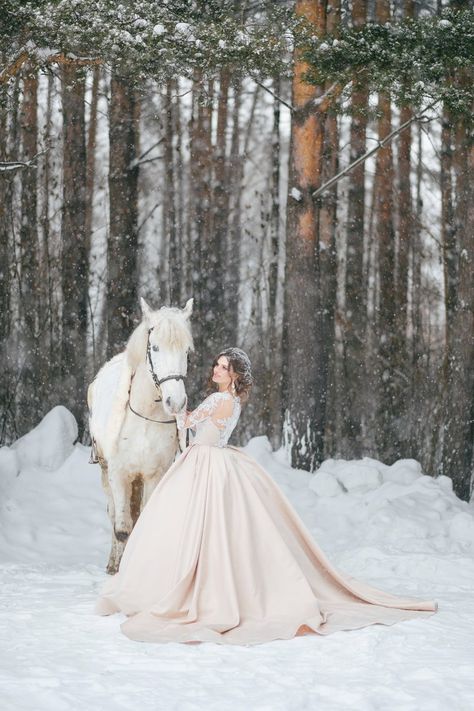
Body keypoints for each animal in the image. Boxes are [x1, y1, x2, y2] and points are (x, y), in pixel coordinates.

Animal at [88, 298, 193, 576]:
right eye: (154, 347)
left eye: (187, 351)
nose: (176, 402)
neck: (145, 416)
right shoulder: (119, 473)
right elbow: (123, 528)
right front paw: (120, 570)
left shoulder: (154, 473)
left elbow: (145, 519)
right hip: (106, 472)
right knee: (114, 514)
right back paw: (113, 562)